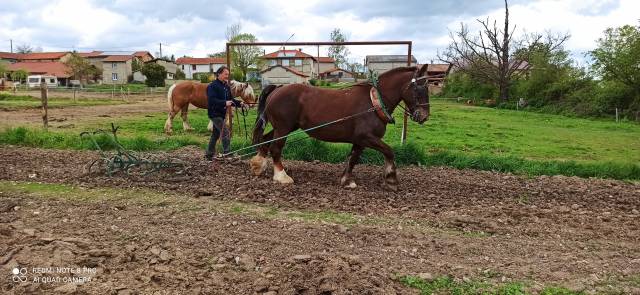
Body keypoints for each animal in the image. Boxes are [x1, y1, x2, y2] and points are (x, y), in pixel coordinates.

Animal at [250, 65, 430, 192]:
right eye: (419, 87)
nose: (424, 116)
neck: (373, 103)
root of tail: (278, 88)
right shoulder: (366, 137)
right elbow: (389, 151)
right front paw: (391, 179)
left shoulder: (360, 140)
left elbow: (353, 158)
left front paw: (347, 180)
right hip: (283, 128)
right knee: (276, 148)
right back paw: (282, 176)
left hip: (285, 127)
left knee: (265, 140)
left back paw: (258, 165)